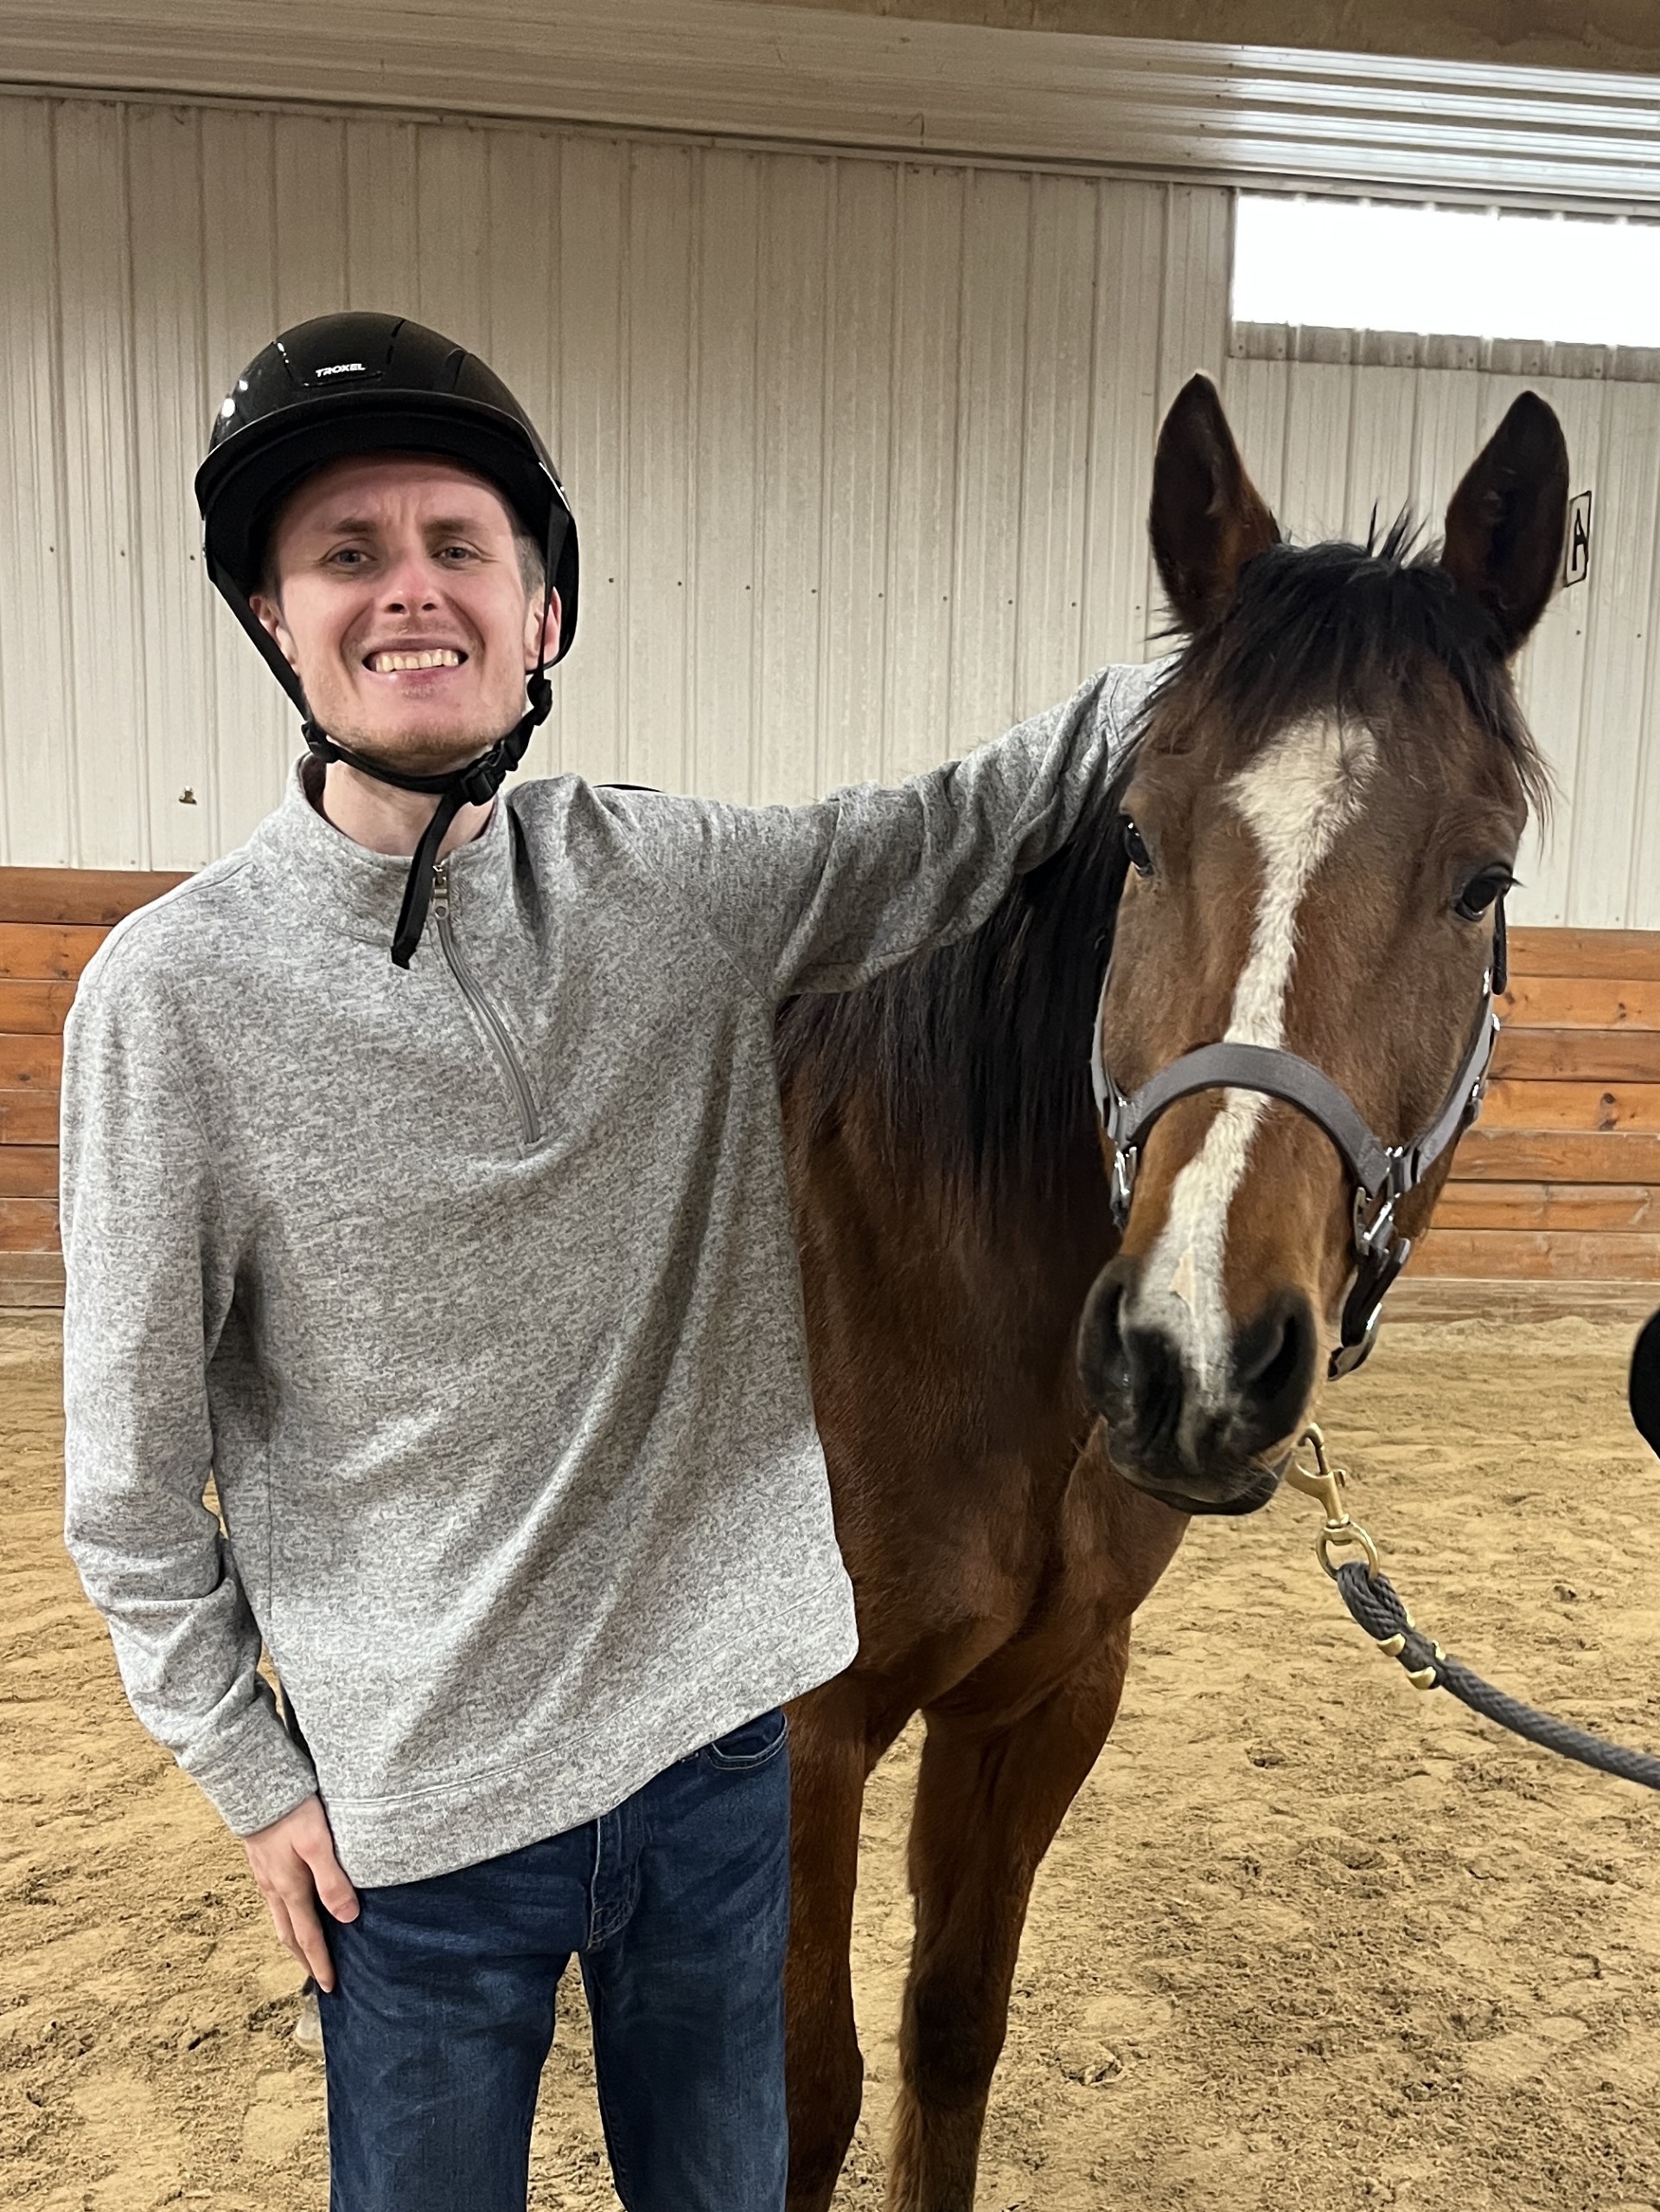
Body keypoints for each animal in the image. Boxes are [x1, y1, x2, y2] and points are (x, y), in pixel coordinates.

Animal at [775, 370, 1569, 2211]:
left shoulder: (1045, 1695)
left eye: (1483, 879)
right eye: (1137, 835)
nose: (1192, 1355)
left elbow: (948, 2035)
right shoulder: (800, 1742)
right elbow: (803, 2096)